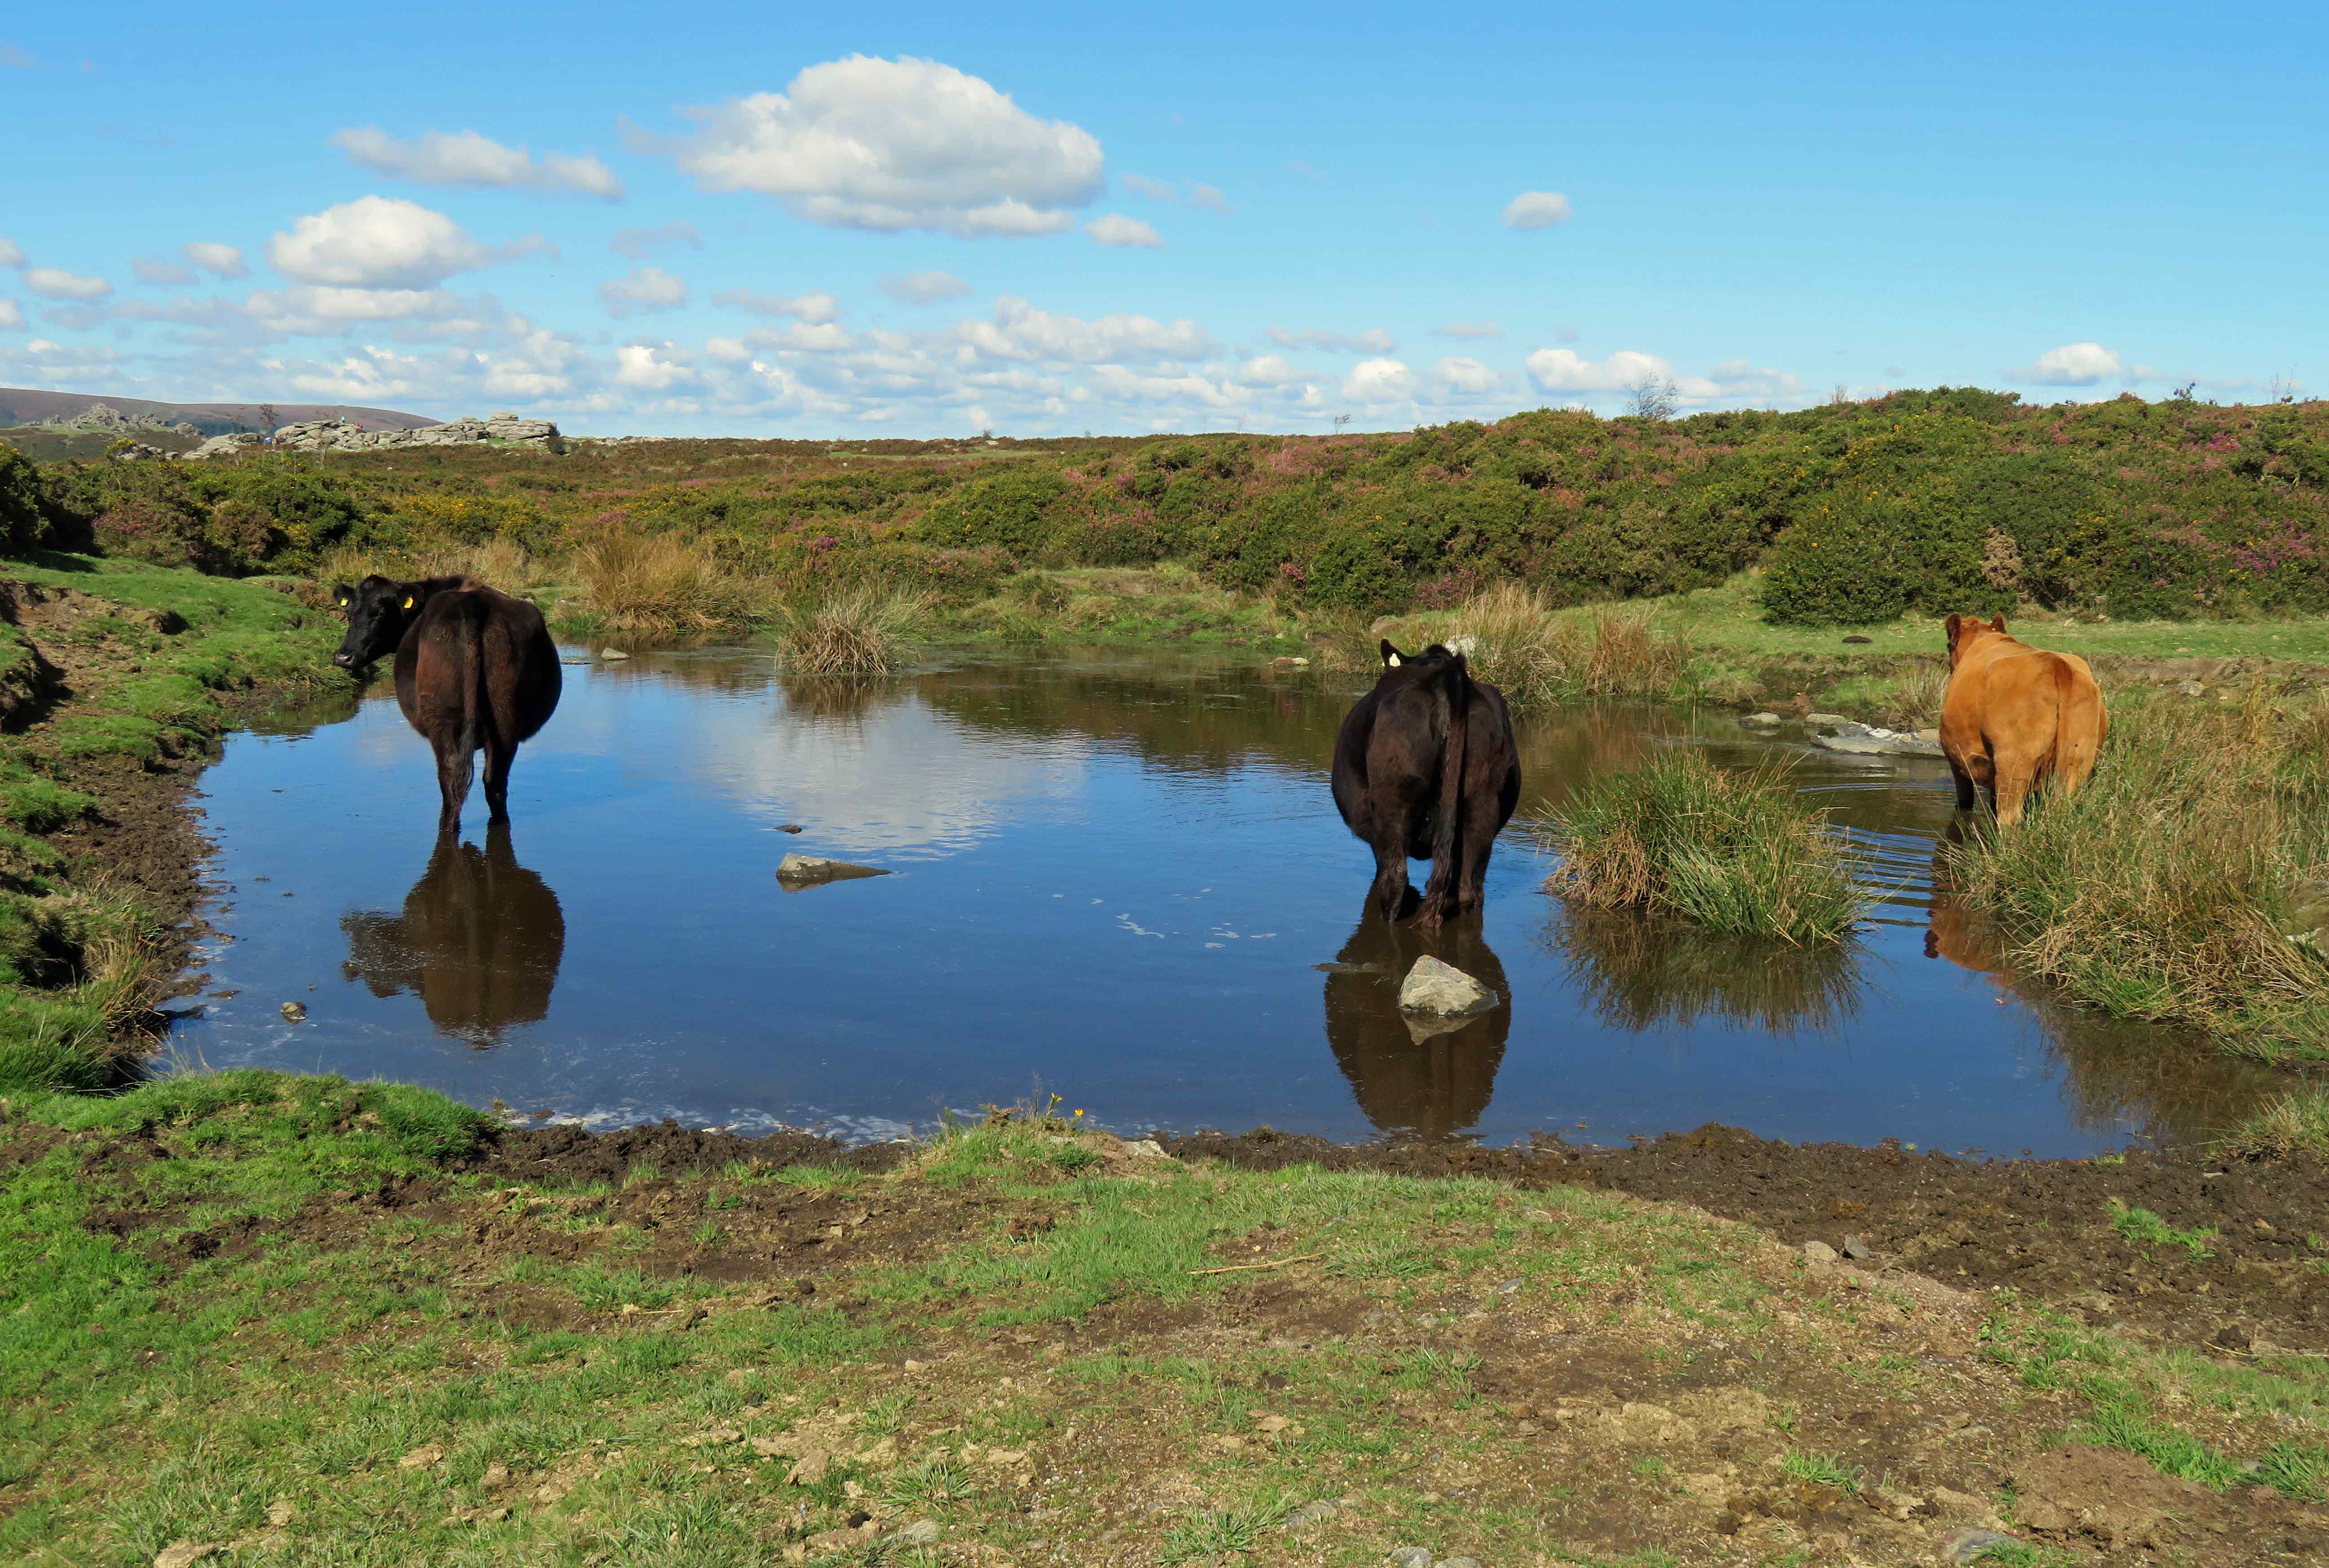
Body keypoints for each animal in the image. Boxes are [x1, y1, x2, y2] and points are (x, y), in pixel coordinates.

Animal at [332, 574, 562, 831]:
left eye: (380, 613)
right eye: (349, 612)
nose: (343, 657)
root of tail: (473, 604)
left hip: (440, 716)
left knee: (450, 779)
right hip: (504, 717)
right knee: (494, 781)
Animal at [1938, 614, 2106, 826]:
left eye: (1948, 646)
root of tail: (2056, 664)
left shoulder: (1957, 762)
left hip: (2013, 760)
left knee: (2009, 816)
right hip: (2079, 758)